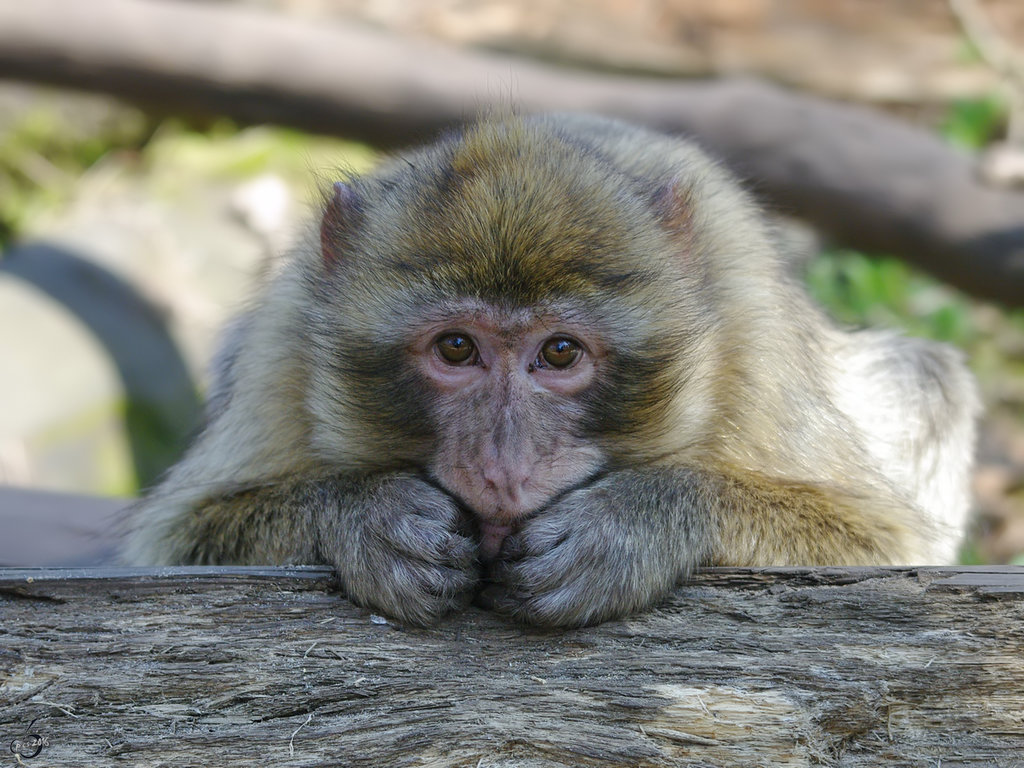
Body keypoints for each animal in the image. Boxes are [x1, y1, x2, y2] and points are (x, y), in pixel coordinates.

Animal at [123, 114, 978, 626]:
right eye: (456, 349)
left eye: (559, 353)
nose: (503, 466)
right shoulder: (286, 336)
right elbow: (177, 538)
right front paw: (369, 517)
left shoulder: (751, 325)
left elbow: (886, 549)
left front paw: (632, 525)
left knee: (926, 376)